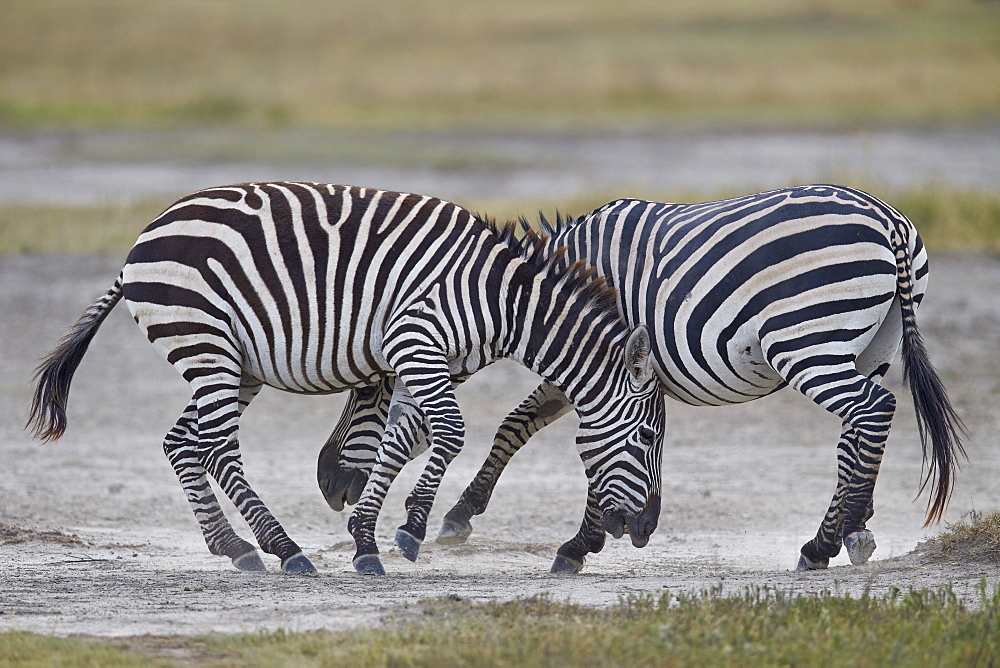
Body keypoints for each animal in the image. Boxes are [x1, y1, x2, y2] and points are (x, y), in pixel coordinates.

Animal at [25, 181, 664, 576]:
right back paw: (285, 550)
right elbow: (449, 433)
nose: (644, 530)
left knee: (182, 442)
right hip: (205, 343)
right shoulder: (416, 339)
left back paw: (233, 546)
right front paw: (410, 528)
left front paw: (366, 539)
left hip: (234, 361)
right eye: (648, 439)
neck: (500, 302)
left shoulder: (421, 360)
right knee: (218, 448)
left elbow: (400, 440)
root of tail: (145, 236)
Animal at [316, 184, 964, 576]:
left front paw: (578, 543)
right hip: (870, 345)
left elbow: (573, 440)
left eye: (364, 388)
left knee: (872, 411)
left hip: (807, 341)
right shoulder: (593, 366)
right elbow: (522, 425)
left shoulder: (593, 362)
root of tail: (889, 221)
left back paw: (822, 543)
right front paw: (465, 513)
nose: (328, 485)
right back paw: (854, 527)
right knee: (859, 429)